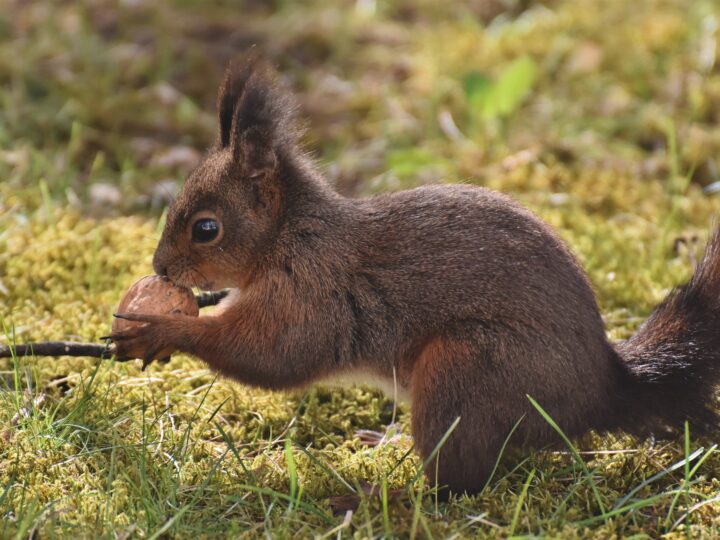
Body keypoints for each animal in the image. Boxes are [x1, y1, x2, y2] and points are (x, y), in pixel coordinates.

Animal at [112, 57, 720, 496]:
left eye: (205, 228)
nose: (160, 268)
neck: (290, 237)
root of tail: (601, 389)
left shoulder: (314, 292)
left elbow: (274, 355)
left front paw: (160, 329)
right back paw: (388, 443)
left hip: (470, 370)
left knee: (457, 483)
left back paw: (379, 498)